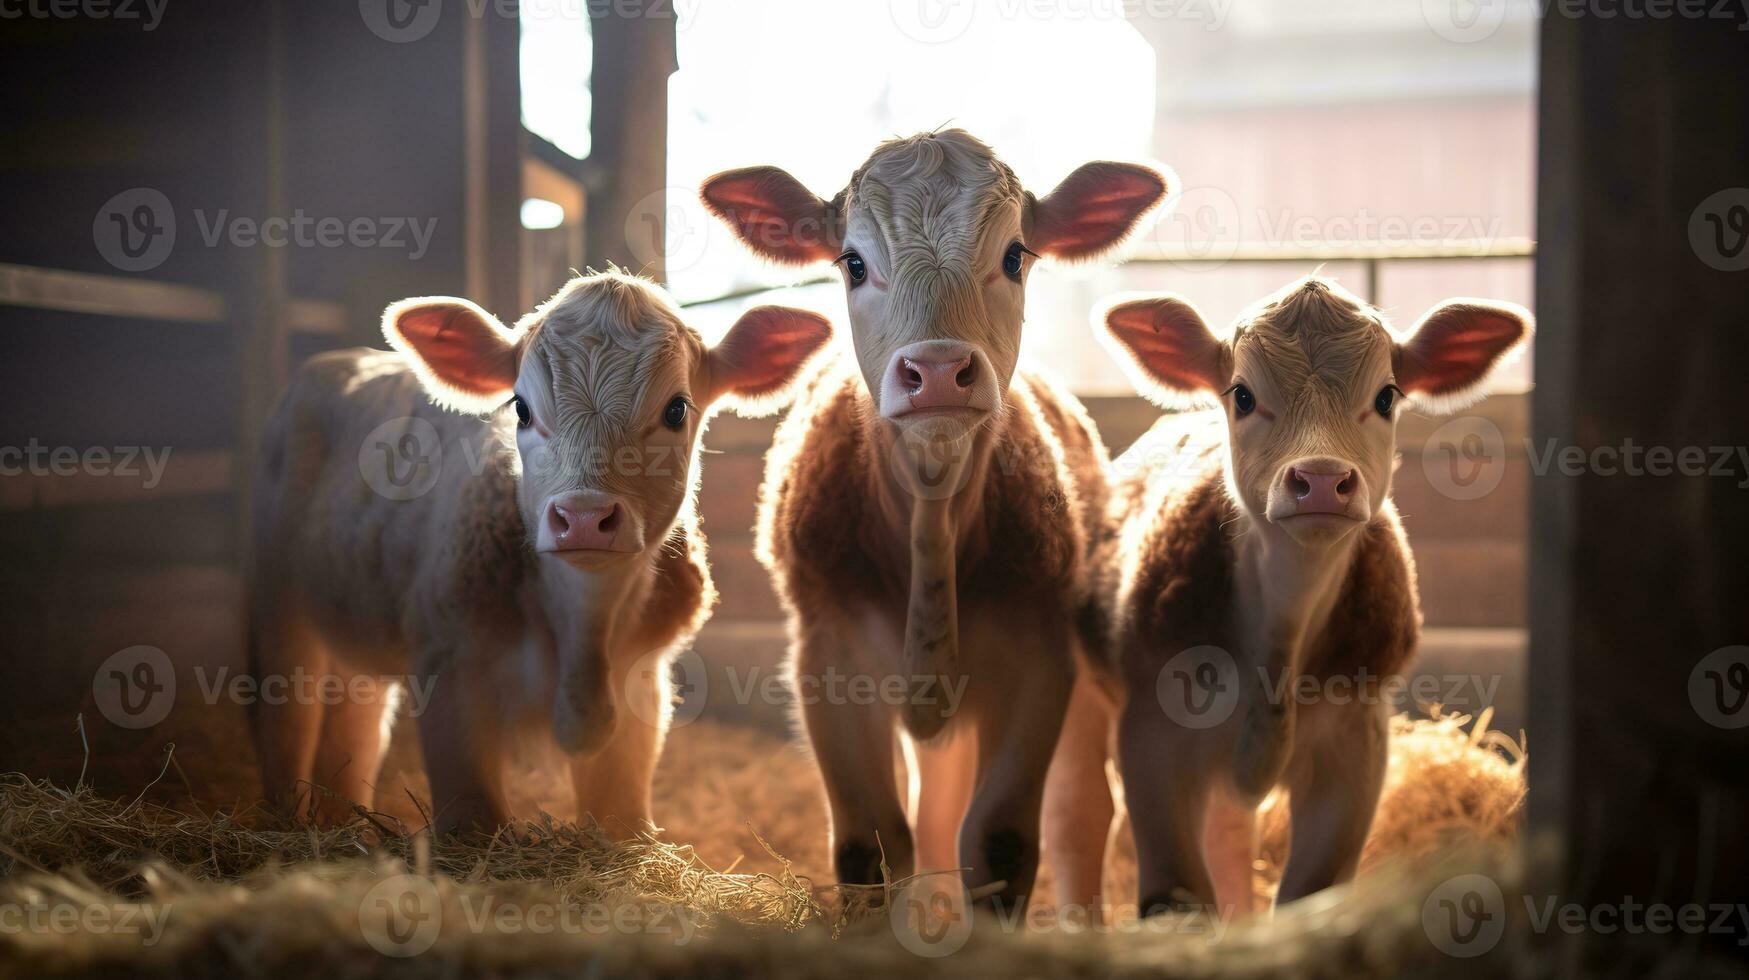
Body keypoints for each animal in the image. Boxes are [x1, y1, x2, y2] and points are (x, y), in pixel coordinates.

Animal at [244, 269, 832, 833]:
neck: (582, 626)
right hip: (276, 599)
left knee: (354, 730)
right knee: (285, 720)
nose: (584, 517)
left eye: (676, 410)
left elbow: (621, 820)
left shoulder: (642, 683)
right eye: (521, 409)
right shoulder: (451, 675)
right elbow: (474, 822)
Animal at [703, 132, 1168, 910]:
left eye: (1014, 255)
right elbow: (872, 845)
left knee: (1076, 810)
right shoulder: (827, 658)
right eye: (853, 262)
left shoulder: (1038, 658)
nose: (940, 370)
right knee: (936, 809)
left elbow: (1001, 842)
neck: (931, 510)